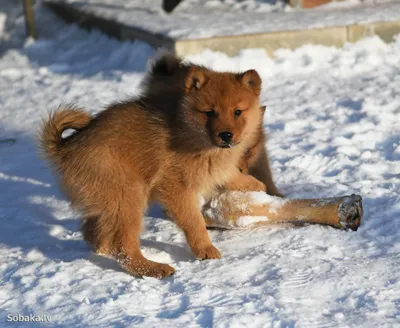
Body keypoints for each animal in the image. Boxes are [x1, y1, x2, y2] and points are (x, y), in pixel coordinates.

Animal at [39, 57, 266, 278]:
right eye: (209, 113)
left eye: (238, 112)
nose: (226, 135)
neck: (190, 133)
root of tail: (66, 148)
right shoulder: (175, 188)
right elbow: (194, 222)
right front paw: (205, 249)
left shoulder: (216, 170)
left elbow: (233, 177)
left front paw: (257, 185)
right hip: (128, 197)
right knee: (123, 247)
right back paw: (154, 268)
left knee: (94, 232)